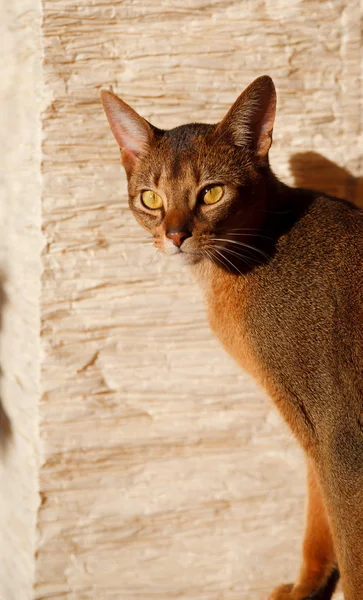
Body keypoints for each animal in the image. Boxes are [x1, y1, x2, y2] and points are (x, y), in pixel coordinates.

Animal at [100, 76, 363, 600]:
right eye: (151, 199)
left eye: (212, 193)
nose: (174, 235)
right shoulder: (313, 432)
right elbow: (318, 522)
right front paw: (306, 588)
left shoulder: (340, 432)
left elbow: (351, 549)